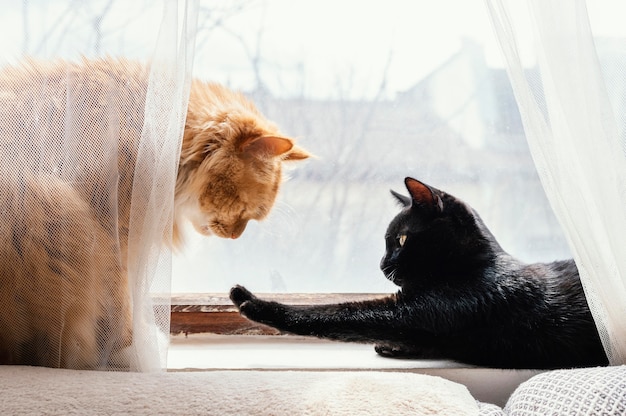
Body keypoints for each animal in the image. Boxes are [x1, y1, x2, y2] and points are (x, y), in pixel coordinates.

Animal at [0, 57, 308, 368]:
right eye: (245, 208)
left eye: (253, 215)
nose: (235, 236)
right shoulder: (114, 236)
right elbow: (121, 308)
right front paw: (132, 351)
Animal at [228, 177, 604, 368]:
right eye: (388, 242)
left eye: (402, 239)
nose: (382, 264)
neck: (473, 265)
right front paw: (394, 349)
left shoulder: (417, 311)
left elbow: (336, 315)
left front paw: (253, 302)